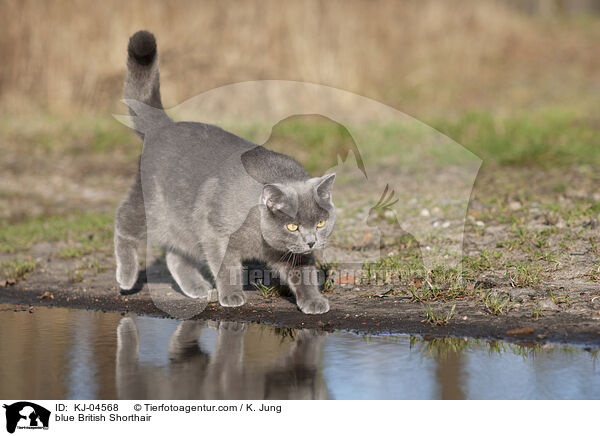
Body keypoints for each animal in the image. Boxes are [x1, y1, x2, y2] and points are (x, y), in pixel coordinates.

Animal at [115, 32, 336, 316]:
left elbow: (304, 274)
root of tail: (163, 126)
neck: (260, 237)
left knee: (175, 255)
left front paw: (313, 301)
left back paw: (196, 287)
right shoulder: (215, 232)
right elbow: (225, 266)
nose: (311, 241)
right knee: (124, 223)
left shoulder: (292, 252)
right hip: (154, 207)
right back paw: (126, 277)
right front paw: (231, 295)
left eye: (320, 223)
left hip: (184, 223)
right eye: (292, 226)